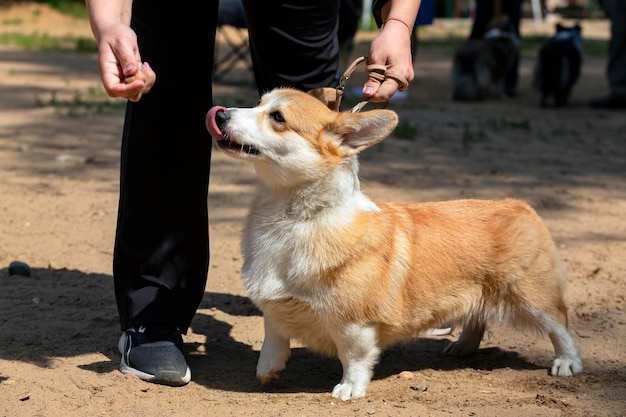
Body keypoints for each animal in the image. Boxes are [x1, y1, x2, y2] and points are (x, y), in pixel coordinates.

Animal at [205, 88, 580, 400]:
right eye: (259, 102)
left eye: (278, 118)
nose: (220, 114)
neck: (294, 217)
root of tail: (519, 204)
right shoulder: (276, 304)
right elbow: (273, 334)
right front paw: (267, 370)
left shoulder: (354, 322)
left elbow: (354, 356)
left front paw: (349, 389)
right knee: (478, 317)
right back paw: (462, 347)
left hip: (532, 296)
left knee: (560, 324)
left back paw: (567, 363)